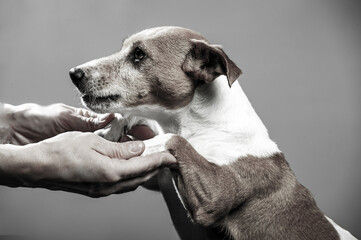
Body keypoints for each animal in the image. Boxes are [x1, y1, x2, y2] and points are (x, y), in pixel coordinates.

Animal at [69, 26, 354, 240]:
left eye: (138, 54)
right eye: (123, 49)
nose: (74, 73)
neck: (199, 126)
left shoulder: (216, 194)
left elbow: (173, 139)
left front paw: (135, 145)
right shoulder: (161, 180)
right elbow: (134, 117)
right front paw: (112, 128)